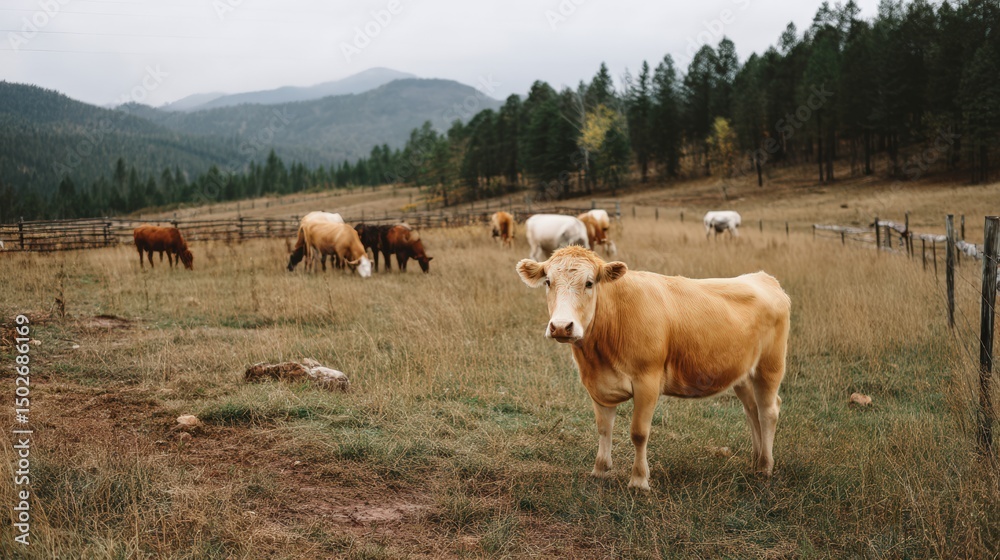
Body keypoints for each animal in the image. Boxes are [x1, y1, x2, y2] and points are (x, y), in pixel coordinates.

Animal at [516, 246, 790, 490]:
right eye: (548, 281)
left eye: (589, 283)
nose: (561, 326)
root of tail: (763, 278)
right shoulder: (597, 384)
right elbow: (604, 428)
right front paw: (600, 470)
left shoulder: (647, 380)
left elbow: (639, 432)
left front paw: (639, 480)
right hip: (742, 374)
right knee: (752, 411)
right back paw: (755, 460)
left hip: (770, 366)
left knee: (768, 410)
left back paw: (765, 466)